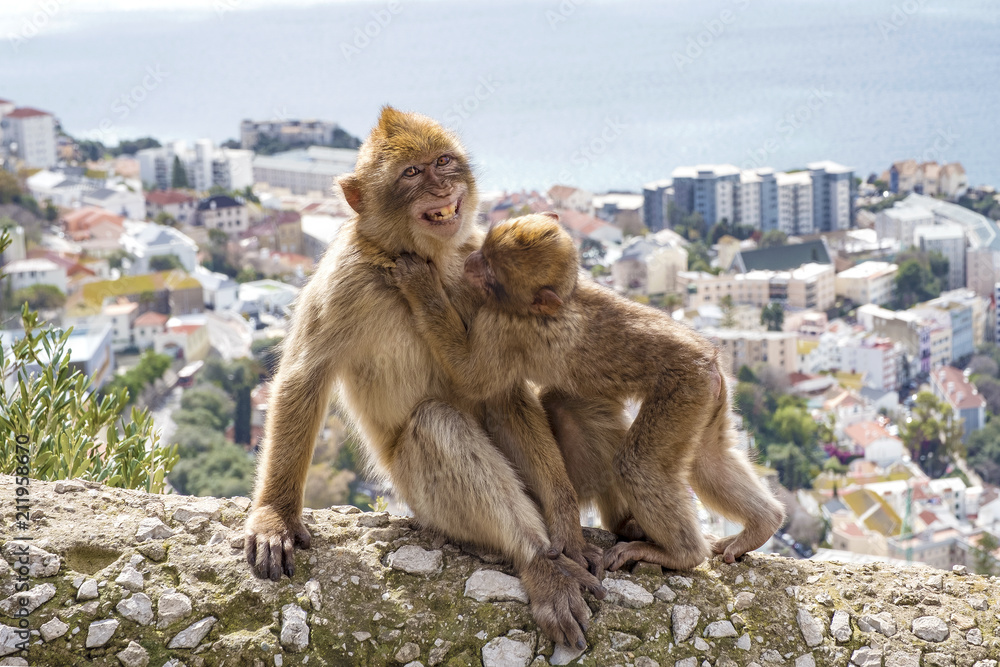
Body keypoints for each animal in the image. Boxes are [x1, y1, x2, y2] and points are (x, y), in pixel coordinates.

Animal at [243, 108, 605, 650]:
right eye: (411, 173)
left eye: (442, 162)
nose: (441, 186)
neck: (423, 257)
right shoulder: (345, 279)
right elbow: (303, 379)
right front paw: (275, 515)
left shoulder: (484, 281)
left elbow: (500, 391)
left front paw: (566, 521)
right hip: (420, 497)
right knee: (438, 423)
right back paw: (539, 562)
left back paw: (555, 546)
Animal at [392, 213, 785, 572]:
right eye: (485, 249)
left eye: (490, 270)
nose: (471, 261)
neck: (564, 299)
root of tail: (706, 358)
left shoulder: (501, 325)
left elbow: (469, 375)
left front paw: (420, 284)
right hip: (707, 395)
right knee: (708, 460)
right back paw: (762, 524)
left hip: (682, 390)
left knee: (638, 465)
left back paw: (679, 554)